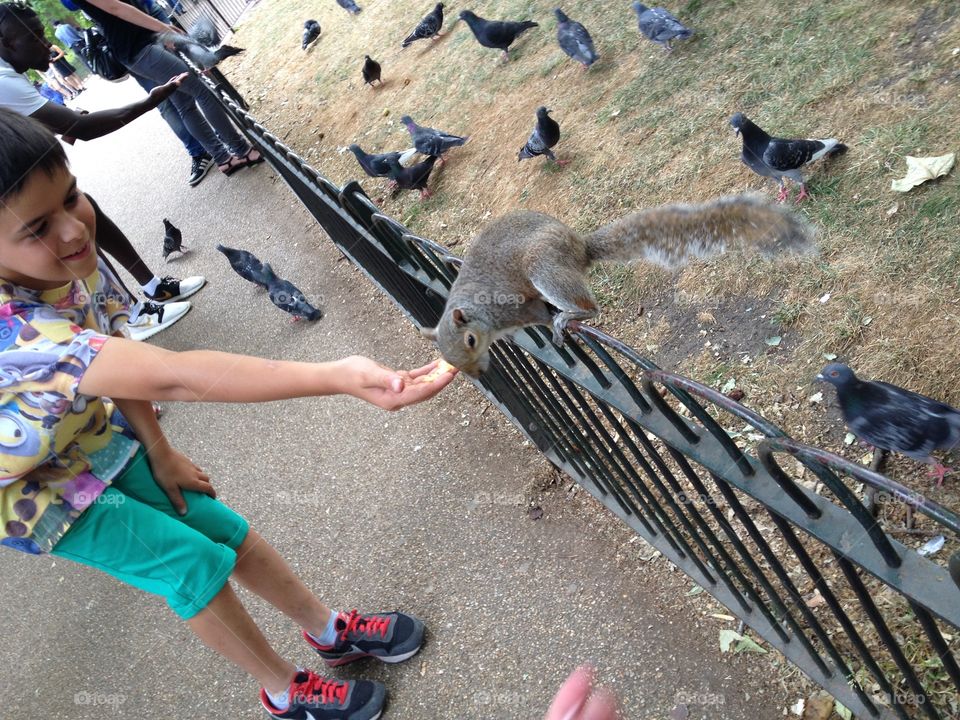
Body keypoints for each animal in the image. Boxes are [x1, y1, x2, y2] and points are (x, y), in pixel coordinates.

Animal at [420, 194, 815, 377]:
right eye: (448, 359)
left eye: (470, 341)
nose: (479, 373)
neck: (481, 313)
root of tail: (579, 248)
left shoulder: (511, 306)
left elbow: (534, 314)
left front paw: (548, 324)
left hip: (544, 265)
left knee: (587, 306)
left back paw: (571, 315)